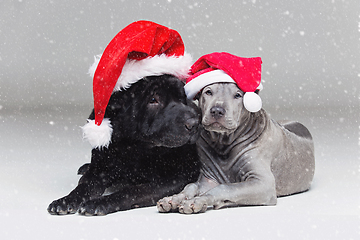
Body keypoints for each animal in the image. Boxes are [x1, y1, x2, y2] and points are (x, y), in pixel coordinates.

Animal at [47, 75, 200, 216]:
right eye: (153, 100)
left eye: (182, 98)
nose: (194, 123)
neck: (134, 148)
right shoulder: (98, 170)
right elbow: (84, 185)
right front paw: (65, 200)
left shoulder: (173, 179)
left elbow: (132, 191)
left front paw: (99, 203)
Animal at [158, 82, 316, 214]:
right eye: (208, 92)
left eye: (238, 95)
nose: (217, 111)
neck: (223, 143)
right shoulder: (208, 179)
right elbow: (191, 186)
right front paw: (173, 199)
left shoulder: (263, 183)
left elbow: (224, 187)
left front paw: (199, 201)